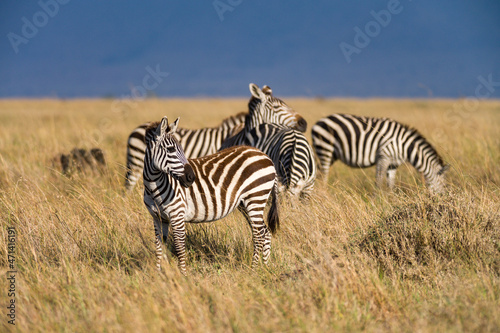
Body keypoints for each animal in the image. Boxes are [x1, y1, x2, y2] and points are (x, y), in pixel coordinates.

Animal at [143, 115, 280, 274]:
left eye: (182, 149)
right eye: (170, 149)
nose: (191, 177)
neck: (153, 187)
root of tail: (265, 156)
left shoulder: (177, 216)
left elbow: (179, 247)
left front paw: (183, 275)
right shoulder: (158, 218)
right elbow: (159, 247)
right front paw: (159, 274)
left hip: (256, 197)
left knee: (258, 236)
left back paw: (253, 270)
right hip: (246, 204)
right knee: (265, 232)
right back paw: (266, 267)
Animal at [312, 113, 450, 192]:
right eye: (444, 185)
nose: (443, 200)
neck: (405, 146)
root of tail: (319, 121)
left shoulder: (393, 164)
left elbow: (391, 185)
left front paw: (391, 200)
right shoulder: (383, 157)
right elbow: (378, 181)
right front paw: (377, 200)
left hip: (331, 154)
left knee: (318, 173)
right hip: (325, 148)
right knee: (323, 175)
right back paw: (324, 194)